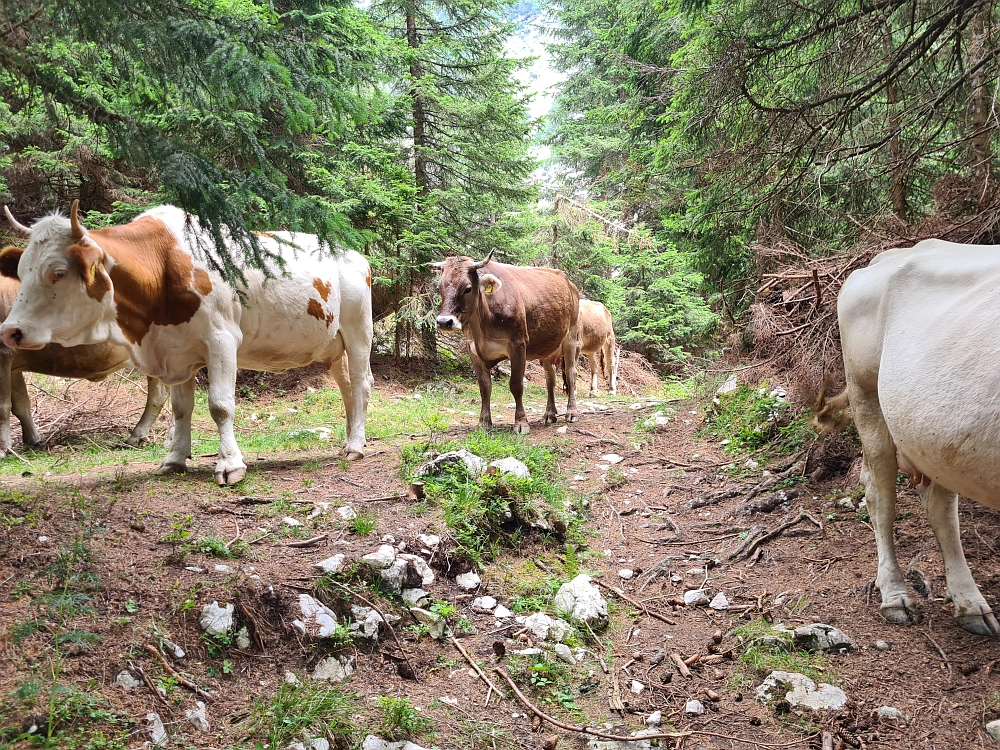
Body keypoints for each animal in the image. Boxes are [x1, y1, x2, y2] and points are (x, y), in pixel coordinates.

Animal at [0, 274, 168, 452]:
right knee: (160, 394)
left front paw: (3, 448)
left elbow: (3, 406)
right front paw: (33, 440)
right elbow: (21, 404)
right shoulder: (13, 365)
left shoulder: (3, 354)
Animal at [434, 251, 584, 434]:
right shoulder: (473, 350)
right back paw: (549, 414)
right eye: (439, 287)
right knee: (550, 378)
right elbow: (484, 387)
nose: (444, 322)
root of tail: (570, 284)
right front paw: (484, 422)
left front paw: (521, 423)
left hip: (572, 340)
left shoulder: (517, 345)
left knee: (571, 374)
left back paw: (572, 412)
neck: (481, 327)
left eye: (467, 288)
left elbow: (516, 385)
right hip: (547, 347)